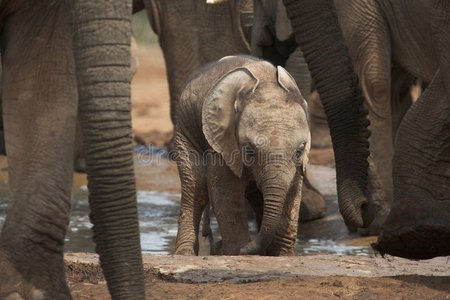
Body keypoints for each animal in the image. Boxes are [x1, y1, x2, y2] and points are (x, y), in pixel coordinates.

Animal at [173, 54, 310, 255]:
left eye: (300, 150)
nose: (216, 246)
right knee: (196, 188)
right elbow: (225, 193)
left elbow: (292, 194)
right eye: (249, 151)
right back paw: (185, 254)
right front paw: (236, 250)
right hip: (185, 129)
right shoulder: (223, 142)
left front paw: (281, 256)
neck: (266, 82)